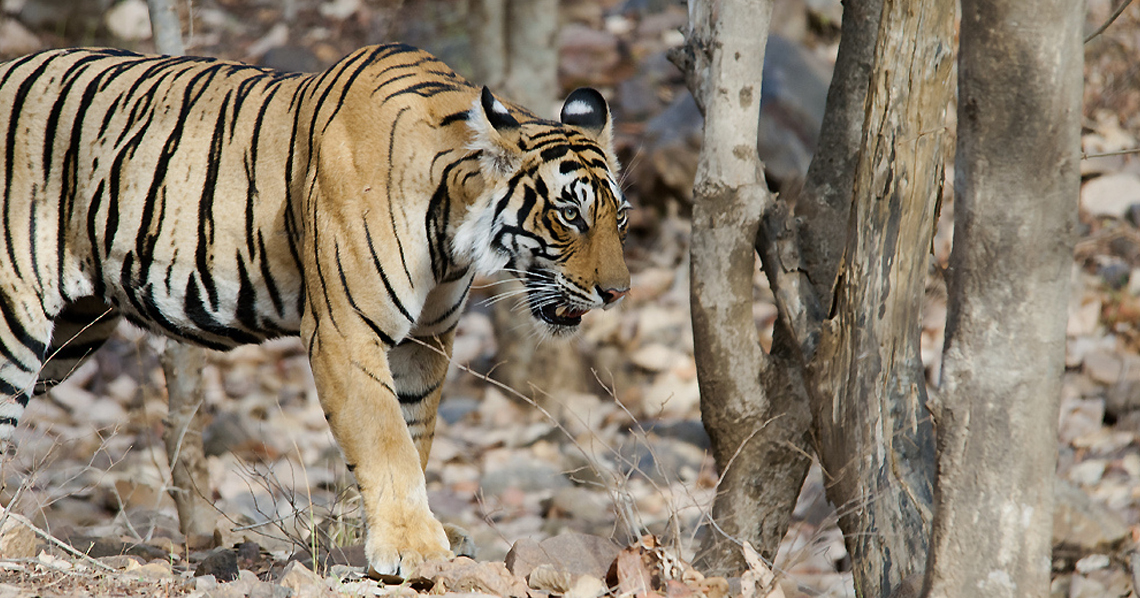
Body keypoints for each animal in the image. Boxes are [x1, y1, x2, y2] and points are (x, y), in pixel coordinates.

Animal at [0, 44, 629, 576]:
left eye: (617, 217)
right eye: (570, 215)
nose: (618, 292)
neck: (452, 225)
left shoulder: (426, 339)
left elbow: (414, 433)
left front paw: (392, 536)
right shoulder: (345, 332)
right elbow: (386, 441)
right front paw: (415, 547)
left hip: (73, 333)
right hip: (14, 322)